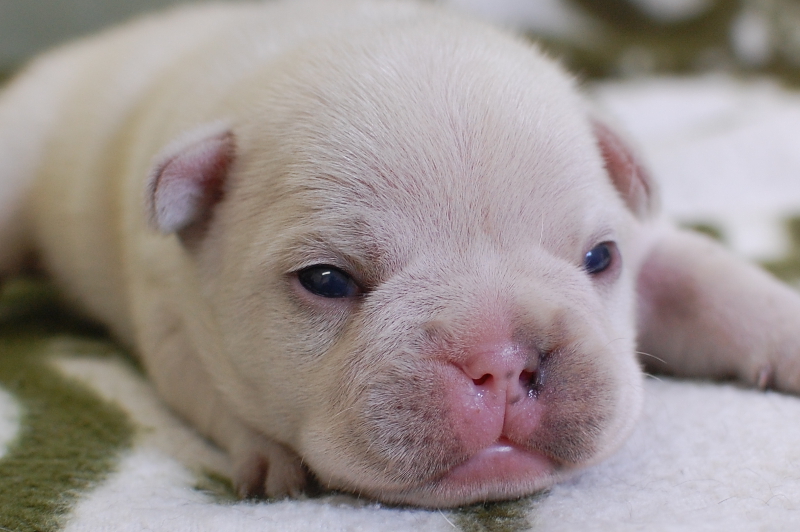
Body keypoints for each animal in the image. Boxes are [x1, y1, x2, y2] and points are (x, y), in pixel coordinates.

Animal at [1, 0, 800, 508]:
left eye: (601, 258)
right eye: (325, 280)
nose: (499, 359)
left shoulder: (655, 244)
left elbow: (708, 279)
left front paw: (784, 329)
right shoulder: (172, 315)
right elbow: (207, 391)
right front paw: (269, 458)